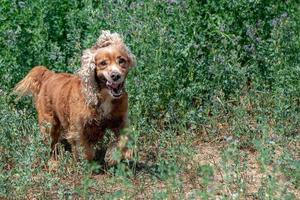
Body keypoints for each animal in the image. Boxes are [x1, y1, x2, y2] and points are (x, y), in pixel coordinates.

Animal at [14, 30, 135, 164]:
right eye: (103, 63)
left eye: (121, 61)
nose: (115, 75)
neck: (104, 95)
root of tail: (49, 75)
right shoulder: (78, 128)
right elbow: (85, 151)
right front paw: (87, 163)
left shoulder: (121, 120)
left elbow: (123, 140)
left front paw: (113, 157)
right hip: (49, 123)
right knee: (52, 145)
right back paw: (53, 163)